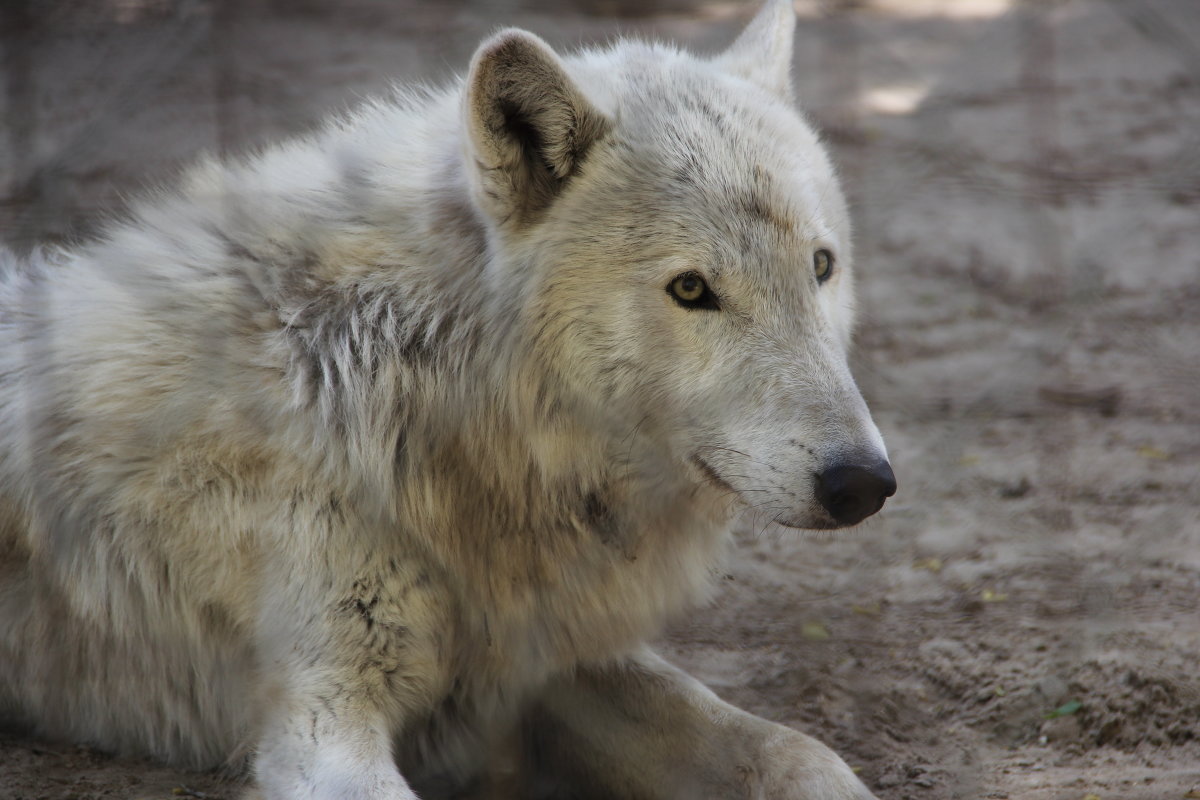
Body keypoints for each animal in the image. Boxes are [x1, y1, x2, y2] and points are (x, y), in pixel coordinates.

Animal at [0, 3, 897, 796]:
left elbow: (795, 755)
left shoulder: (534, 668)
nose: (864, 483)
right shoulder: (320, 712)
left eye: (821, 267)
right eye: (691, 289)